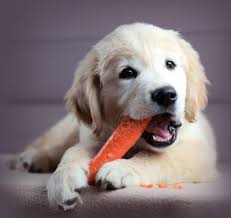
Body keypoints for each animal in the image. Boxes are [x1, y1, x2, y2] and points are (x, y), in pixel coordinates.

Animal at [15, 22, 217, 209]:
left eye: (170, 64)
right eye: (127, 72)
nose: (166, 94)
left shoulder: (199, 152)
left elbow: (158, 157)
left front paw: (121, 168)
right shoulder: (94, 137)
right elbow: (72, 151)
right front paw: (63, 179)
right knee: (53, 144)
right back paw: (31, 159)